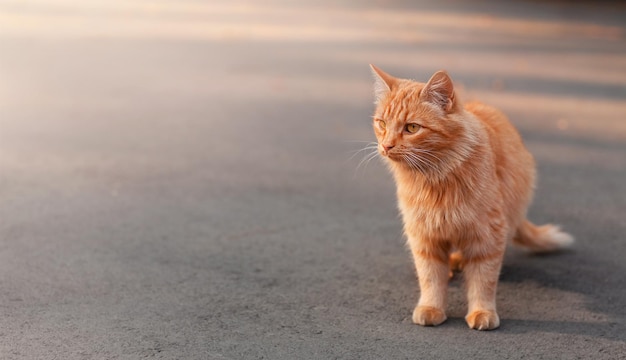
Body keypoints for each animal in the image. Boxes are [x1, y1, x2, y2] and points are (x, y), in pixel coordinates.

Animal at [368, 64, 572, 330]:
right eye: (382, 123)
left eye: (412, 128)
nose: (387, 146)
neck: (436, 179)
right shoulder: (423, 236)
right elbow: (430, 278)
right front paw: (431, 307)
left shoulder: (488, 236)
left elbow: (483, 280)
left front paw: (481, 311)